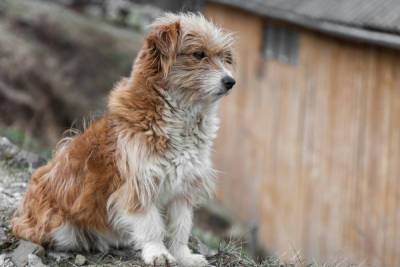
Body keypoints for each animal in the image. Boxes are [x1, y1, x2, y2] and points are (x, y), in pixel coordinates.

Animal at [10, 13, 234, 267]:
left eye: (224, 57)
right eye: (198, 54)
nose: (230, 81)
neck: (181, 118)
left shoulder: (183, 187)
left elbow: (180, 227)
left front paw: (182, 255)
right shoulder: (139, 185)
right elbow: (151, 224)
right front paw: (157, 252)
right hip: (59, 228)